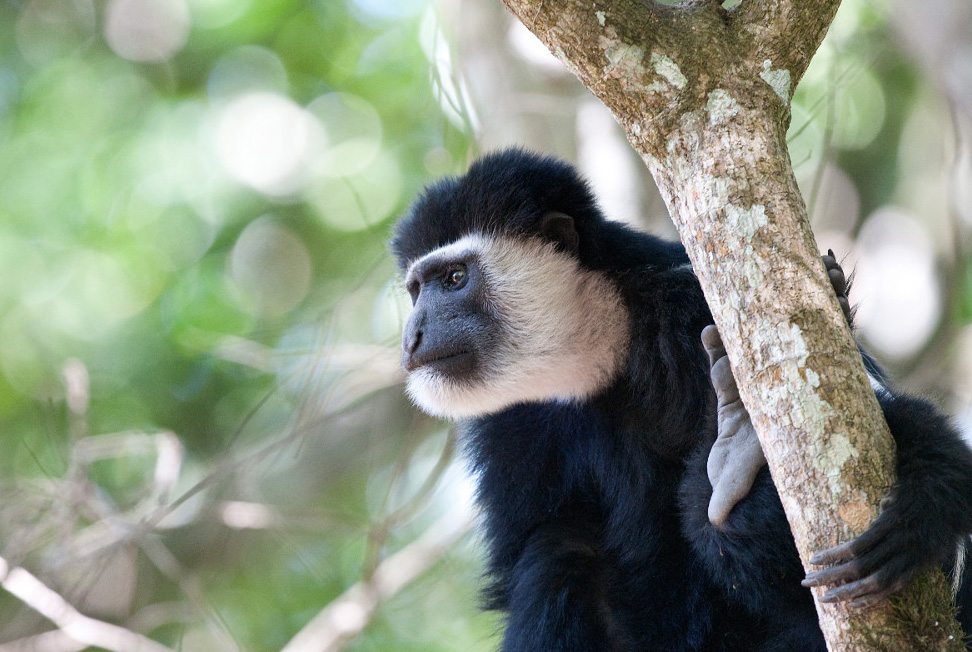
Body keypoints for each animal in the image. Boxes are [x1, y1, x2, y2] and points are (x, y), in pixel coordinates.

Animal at [390, 148, 972, 651]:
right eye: (416, 291)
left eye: (454, 278)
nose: (413, 336)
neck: (605, 353)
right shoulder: (511, 427)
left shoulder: (693, 309)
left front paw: (919, 514)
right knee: (559, 554)